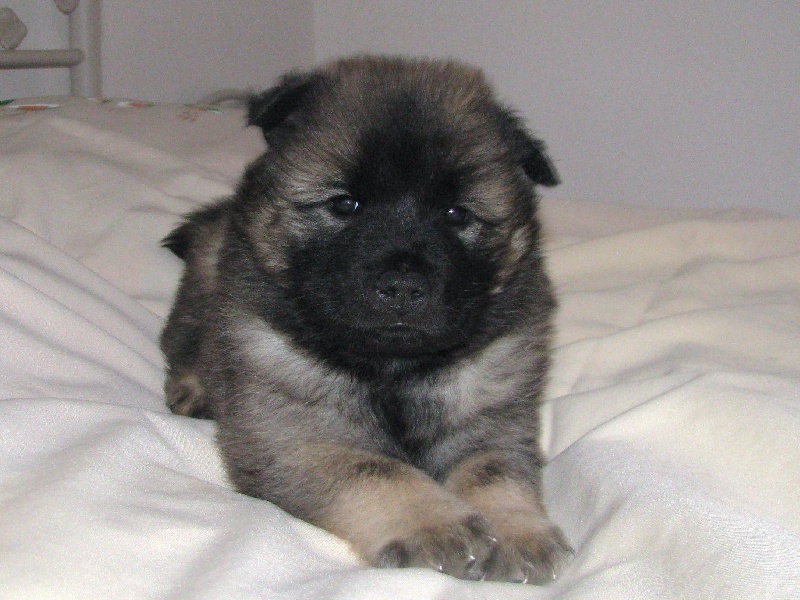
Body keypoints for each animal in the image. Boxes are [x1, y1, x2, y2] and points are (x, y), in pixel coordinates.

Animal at [160, 55, 571, 584]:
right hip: (207, 273)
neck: (392, 367)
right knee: (182, 338)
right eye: (344, 204)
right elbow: (376, 469)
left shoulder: (490, 416)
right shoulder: (294, 434)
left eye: (457, 214)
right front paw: (434, 524)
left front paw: (520, 531)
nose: (402, 287)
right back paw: (194, 387)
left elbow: (494, 472)